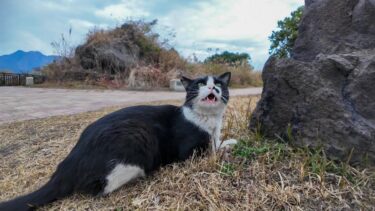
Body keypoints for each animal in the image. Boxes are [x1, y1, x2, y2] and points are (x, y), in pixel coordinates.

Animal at [0, 71, 238, 210]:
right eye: (200, 83)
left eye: (219, 83)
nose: (212, 87)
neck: (208, 120)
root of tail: (66, 165)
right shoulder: (188, 150)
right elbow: (211, 149)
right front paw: (227, 146)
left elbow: (217, 141)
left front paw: (228, 141)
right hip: (138, 137)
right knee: (99, 188)